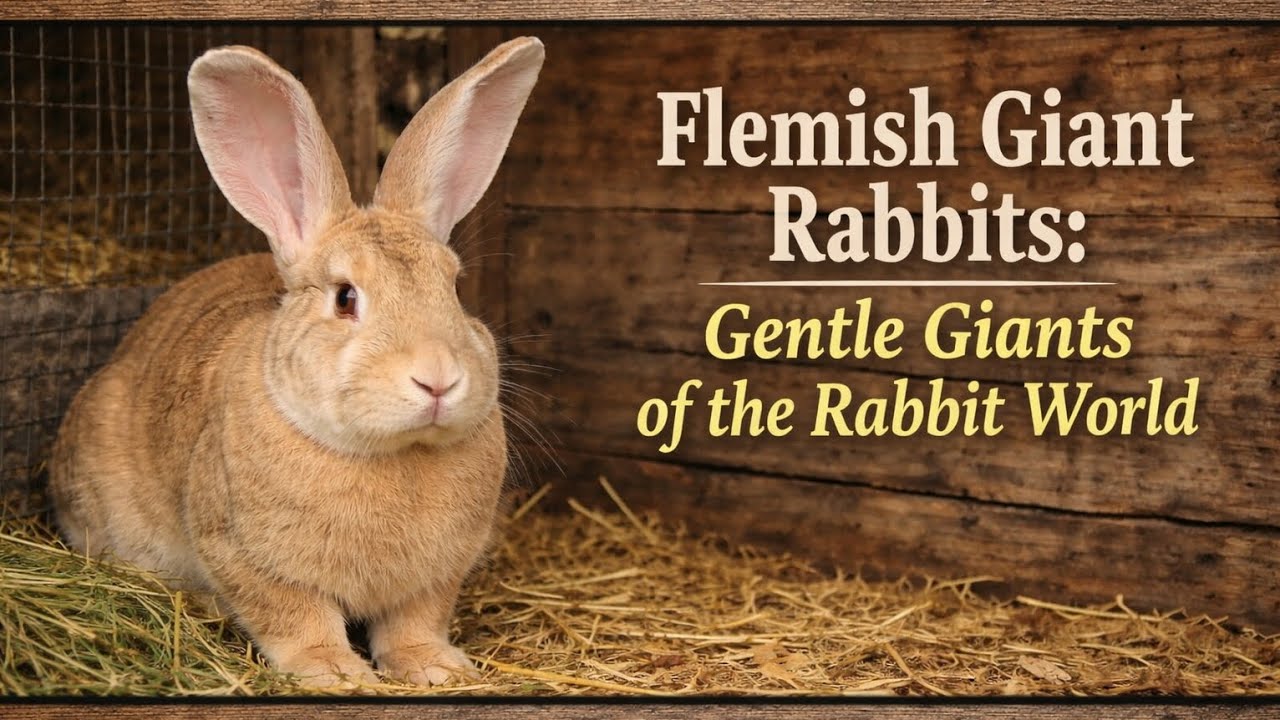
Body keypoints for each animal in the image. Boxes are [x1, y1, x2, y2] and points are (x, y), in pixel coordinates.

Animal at [47, 37, 545, 688]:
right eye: (345, 298)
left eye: (455, 289)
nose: (438, 379)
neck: (390, 453)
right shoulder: (247, 556)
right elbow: (296, 619)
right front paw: (335, 674)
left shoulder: (436, 578)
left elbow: (415, 622)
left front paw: (436, 669)